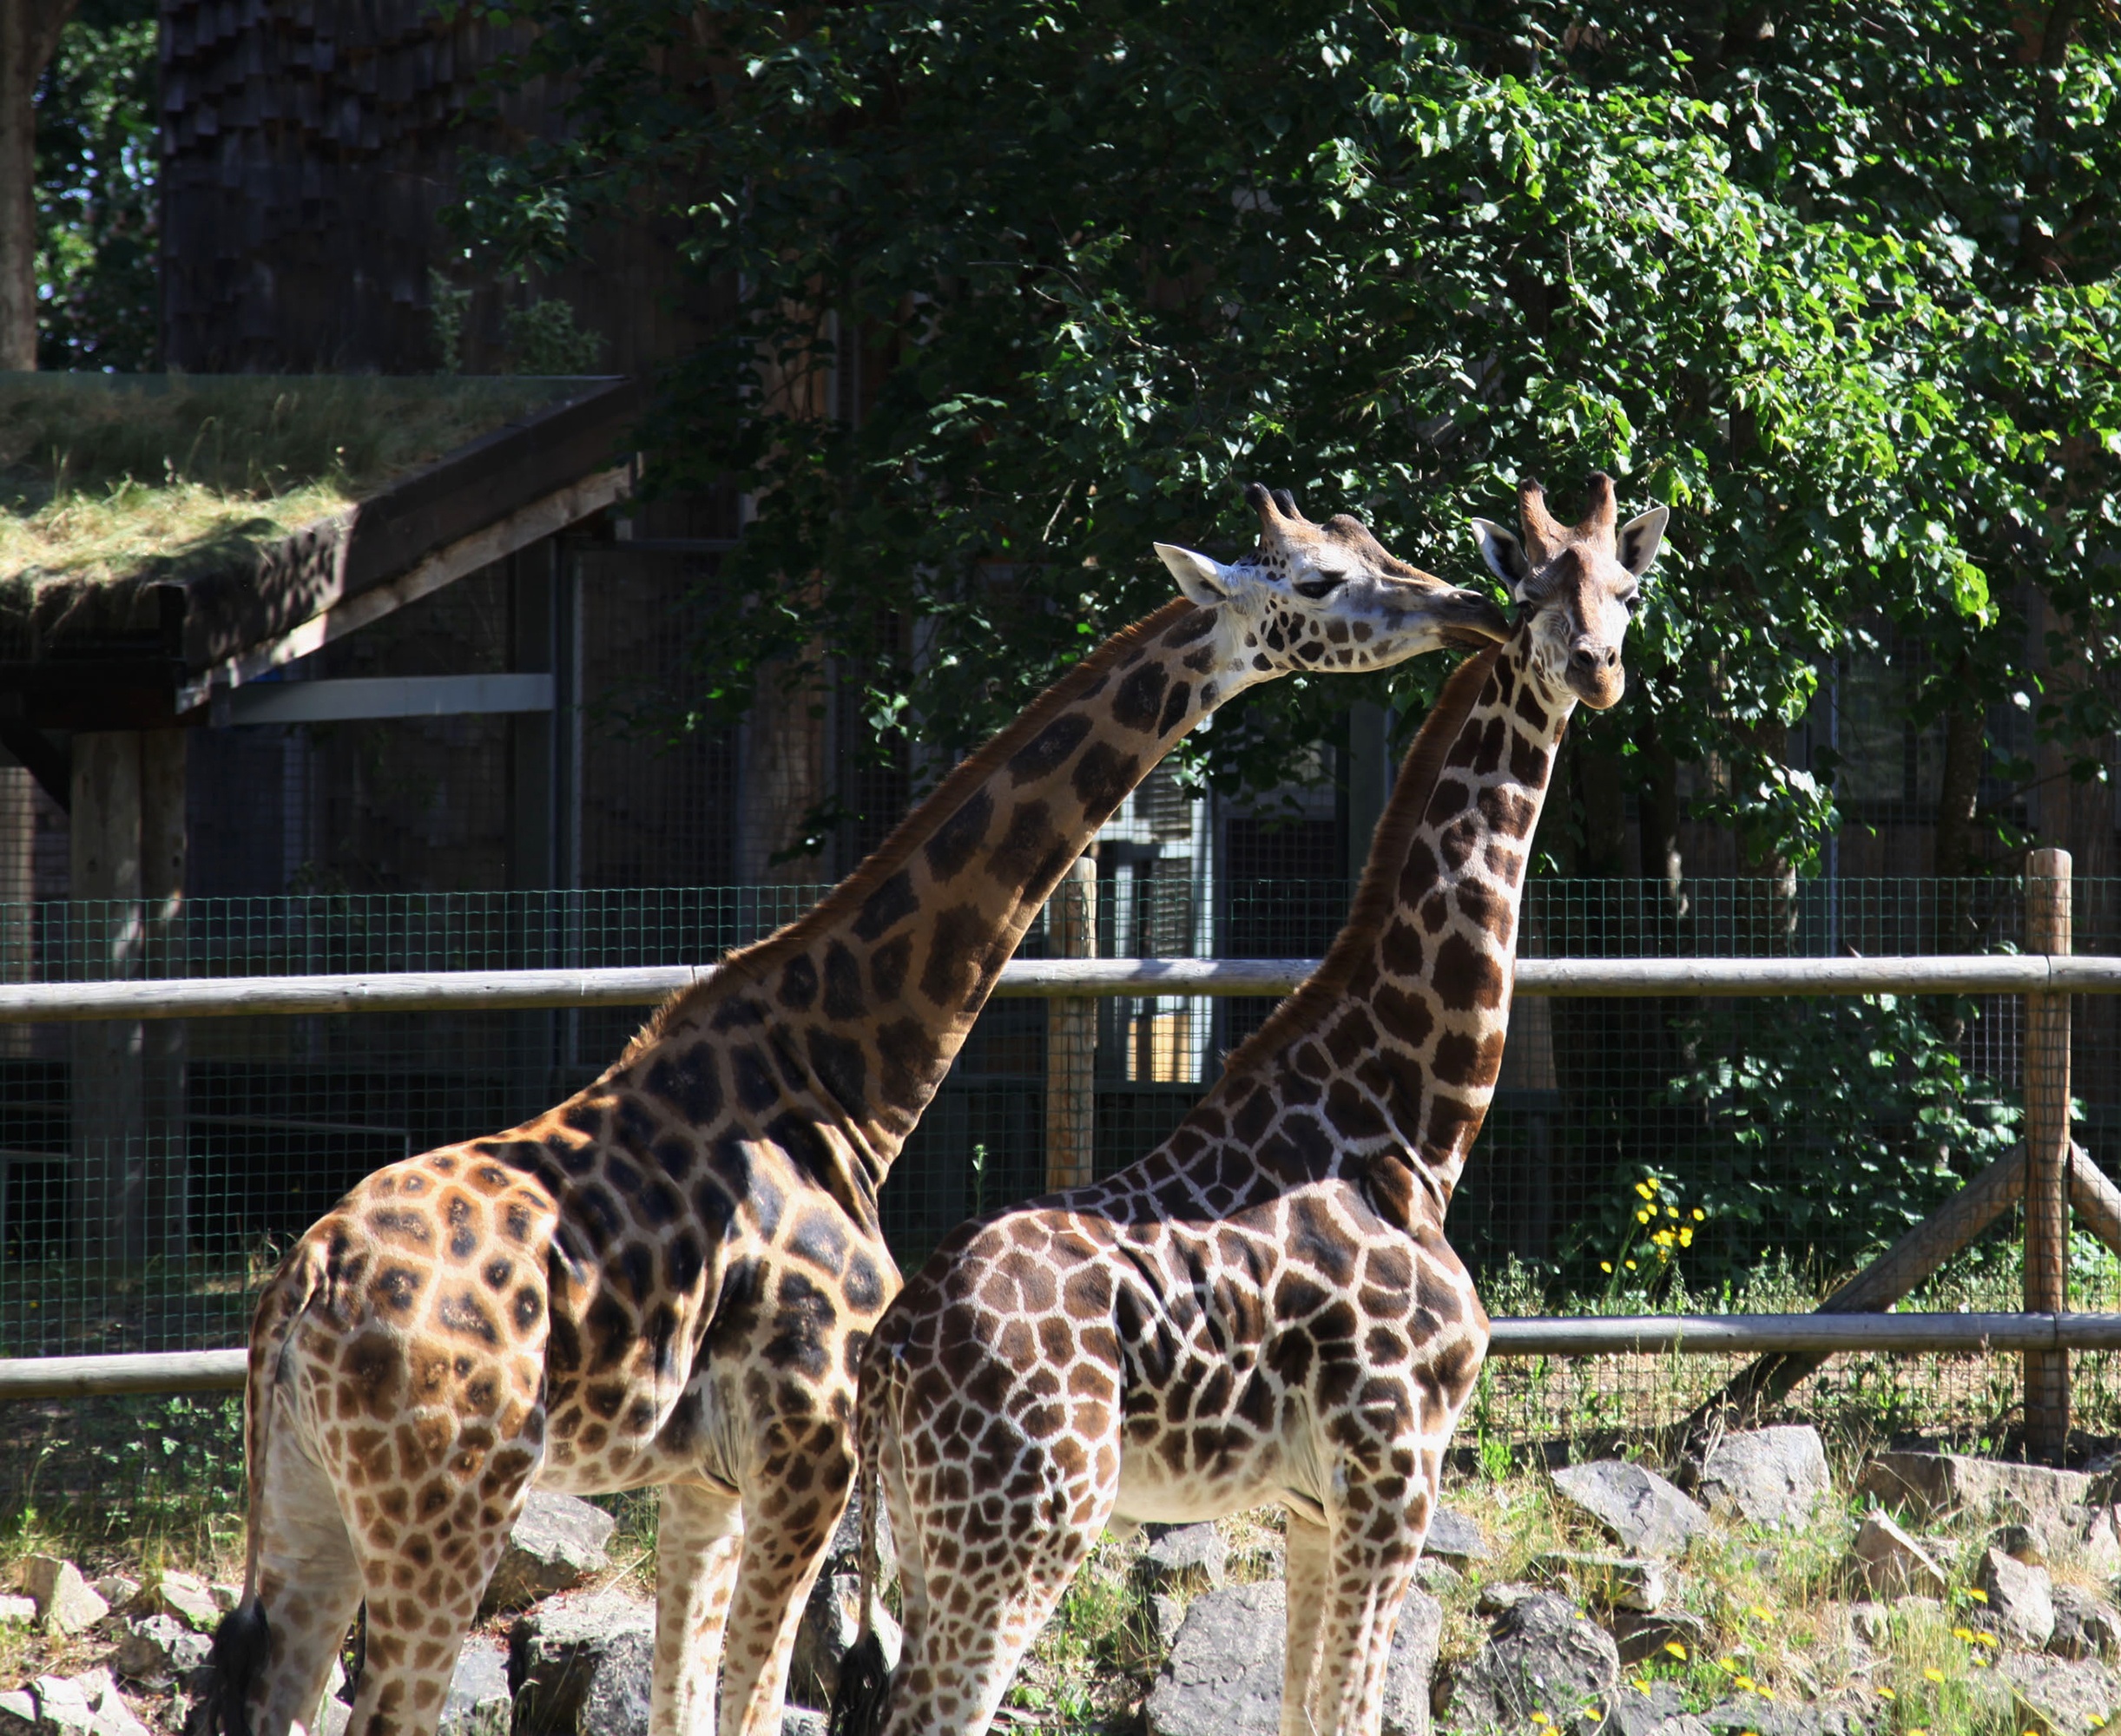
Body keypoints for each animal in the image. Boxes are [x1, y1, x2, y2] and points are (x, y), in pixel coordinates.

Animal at [190, 481, 1501, 1736]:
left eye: (1373, 539)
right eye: (1318, 579)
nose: (1460, 607)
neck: (845, 1080)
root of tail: (294, 1295)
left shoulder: (704, 1478)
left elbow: (686, 1700)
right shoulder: (807, 1441)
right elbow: (752, 1698)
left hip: (309, 1500)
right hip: (450, 1499)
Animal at [831, 475, 1671, 1736]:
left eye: (1625, 587)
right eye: (1530, 592)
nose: (1594, 666)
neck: (1410, 1123)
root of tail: (888, 1356)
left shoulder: (1317, 1504)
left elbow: (1306, 1711)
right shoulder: (1394, 1468)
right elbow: (1356, 1710)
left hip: (930, 1537)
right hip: (1024, 1524)